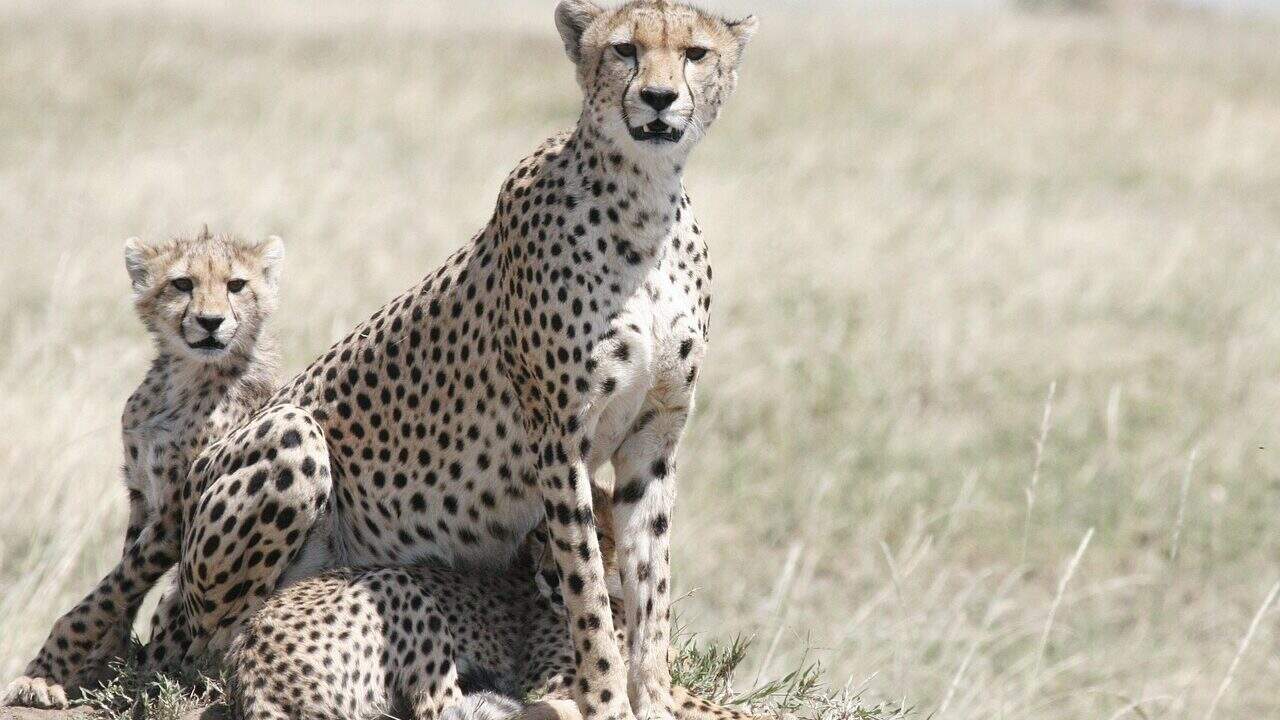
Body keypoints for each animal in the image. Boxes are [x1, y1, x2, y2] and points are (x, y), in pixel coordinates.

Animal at [2, 228, 285, 709]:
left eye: (236, 285)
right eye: (183, 284)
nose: (211, 322)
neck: (185, 378)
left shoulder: (176, 511)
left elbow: (107, 592)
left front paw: (42, 673)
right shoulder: (142, 494)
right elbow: (121, 582)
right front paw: (101, 663)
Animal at [158, 4, 758, 720]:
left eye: (695, 53)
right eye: (624, 50)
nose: (660, 97)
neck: (644, 200)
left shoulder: (653, 437)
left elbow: (650, 584)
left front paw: (656, 695)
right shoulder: (559, 437)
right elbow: (587, 585)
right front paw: (608, 696)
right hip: (291, 438)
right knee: (210, 647)